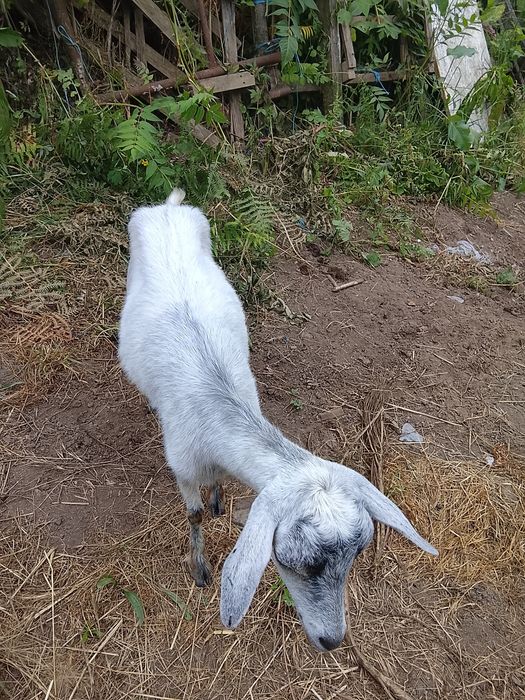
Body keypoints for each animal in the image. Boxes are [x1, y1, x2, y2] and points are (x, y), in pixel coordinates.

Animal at [118, 189, 438, 652]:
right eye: (290, 561)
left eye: (359, 553)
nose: (332, 641)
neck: (219, 405)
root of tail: (168, 206)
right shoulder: (182, 465)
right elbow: (194, 516)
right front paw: (200, 568)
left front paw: (219, 501)